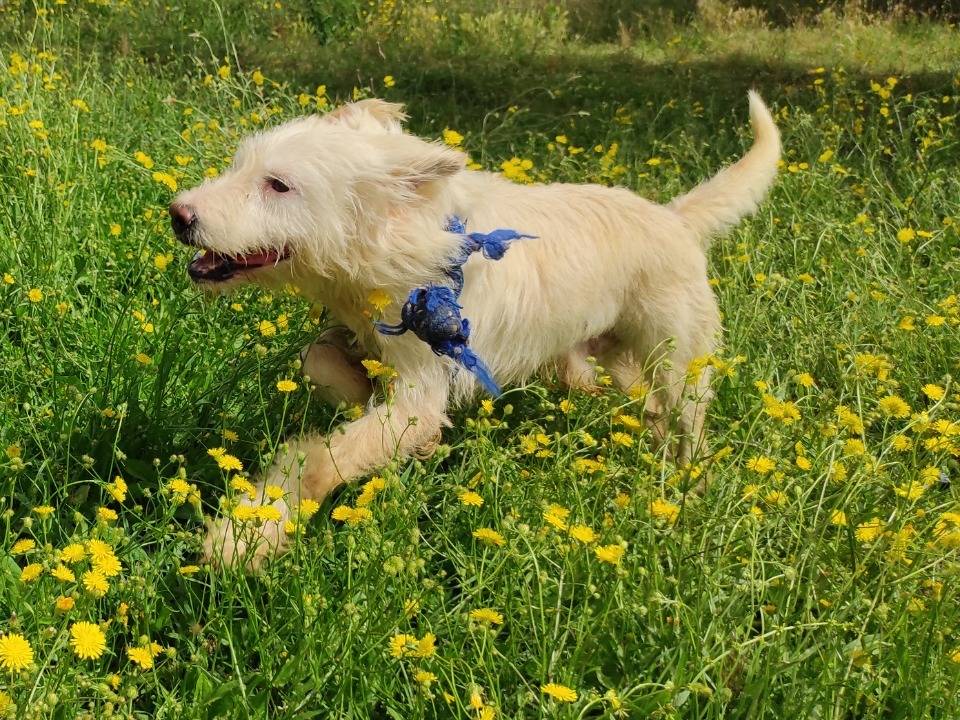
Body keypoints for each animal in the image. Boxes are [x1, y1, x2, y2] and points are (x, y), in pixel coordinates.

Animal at [171, 93, 780, 568]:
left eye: (278, 185)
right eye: (241, 165)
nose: (179, 215)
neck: (403, 244)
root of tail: (675, 218)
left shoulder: (422, 387)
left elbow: (321, 459)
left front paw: (244, 539)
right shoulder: (357, 339)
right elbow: (319, 365)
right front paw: (372, 409)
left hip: (680, 369)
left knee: (689, 432)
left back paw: (689, 495)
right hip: (596, 365)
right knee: (639, 409)